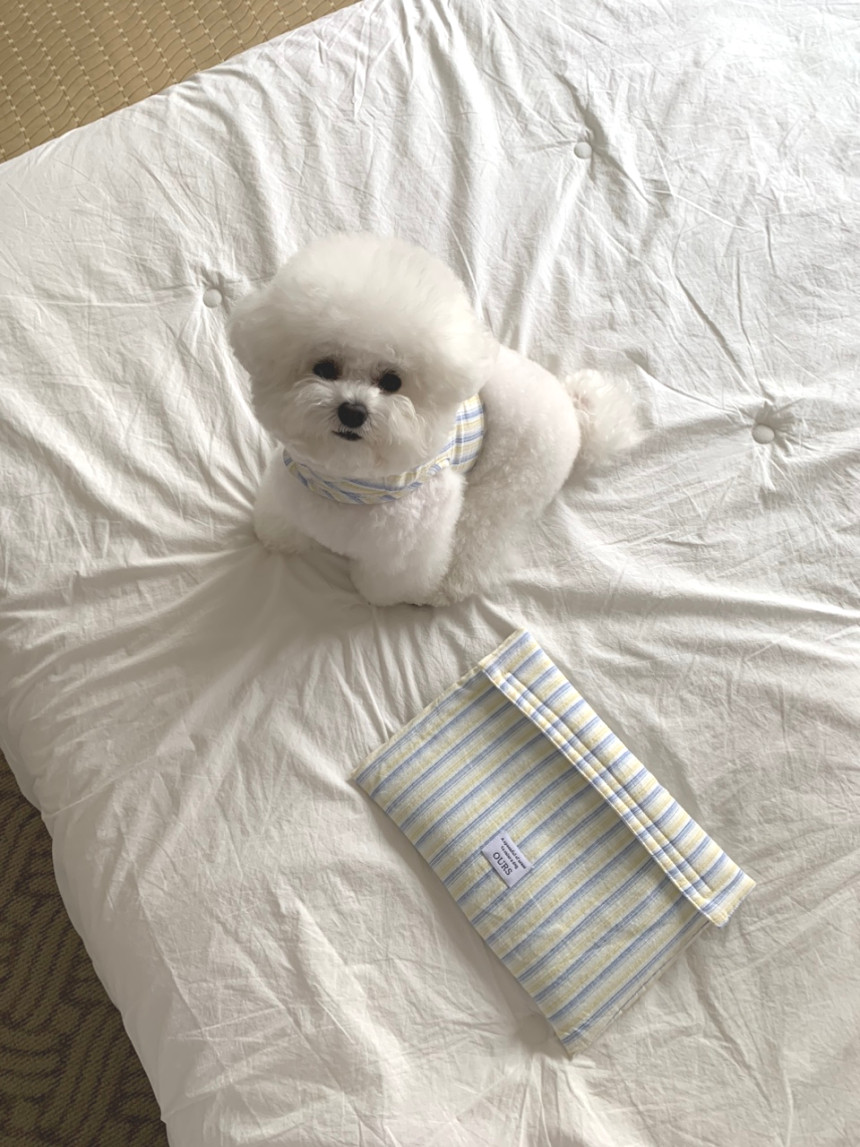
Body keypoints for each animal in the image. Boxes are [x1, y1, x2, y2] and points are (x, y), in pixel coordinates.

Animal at [228, 233, 637, 606]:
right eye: (325, 368)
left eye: (392, 381)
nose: (353, 411)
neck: (349, 483)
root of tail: (573, 409)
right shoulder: (288, 493)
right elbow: (282, 525)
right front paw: (279, 539)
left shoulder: (407, 547)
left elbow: (389, 581)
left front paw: (384, 595)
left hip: (507, 487)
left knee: (480, 541)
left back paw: (444, 589)